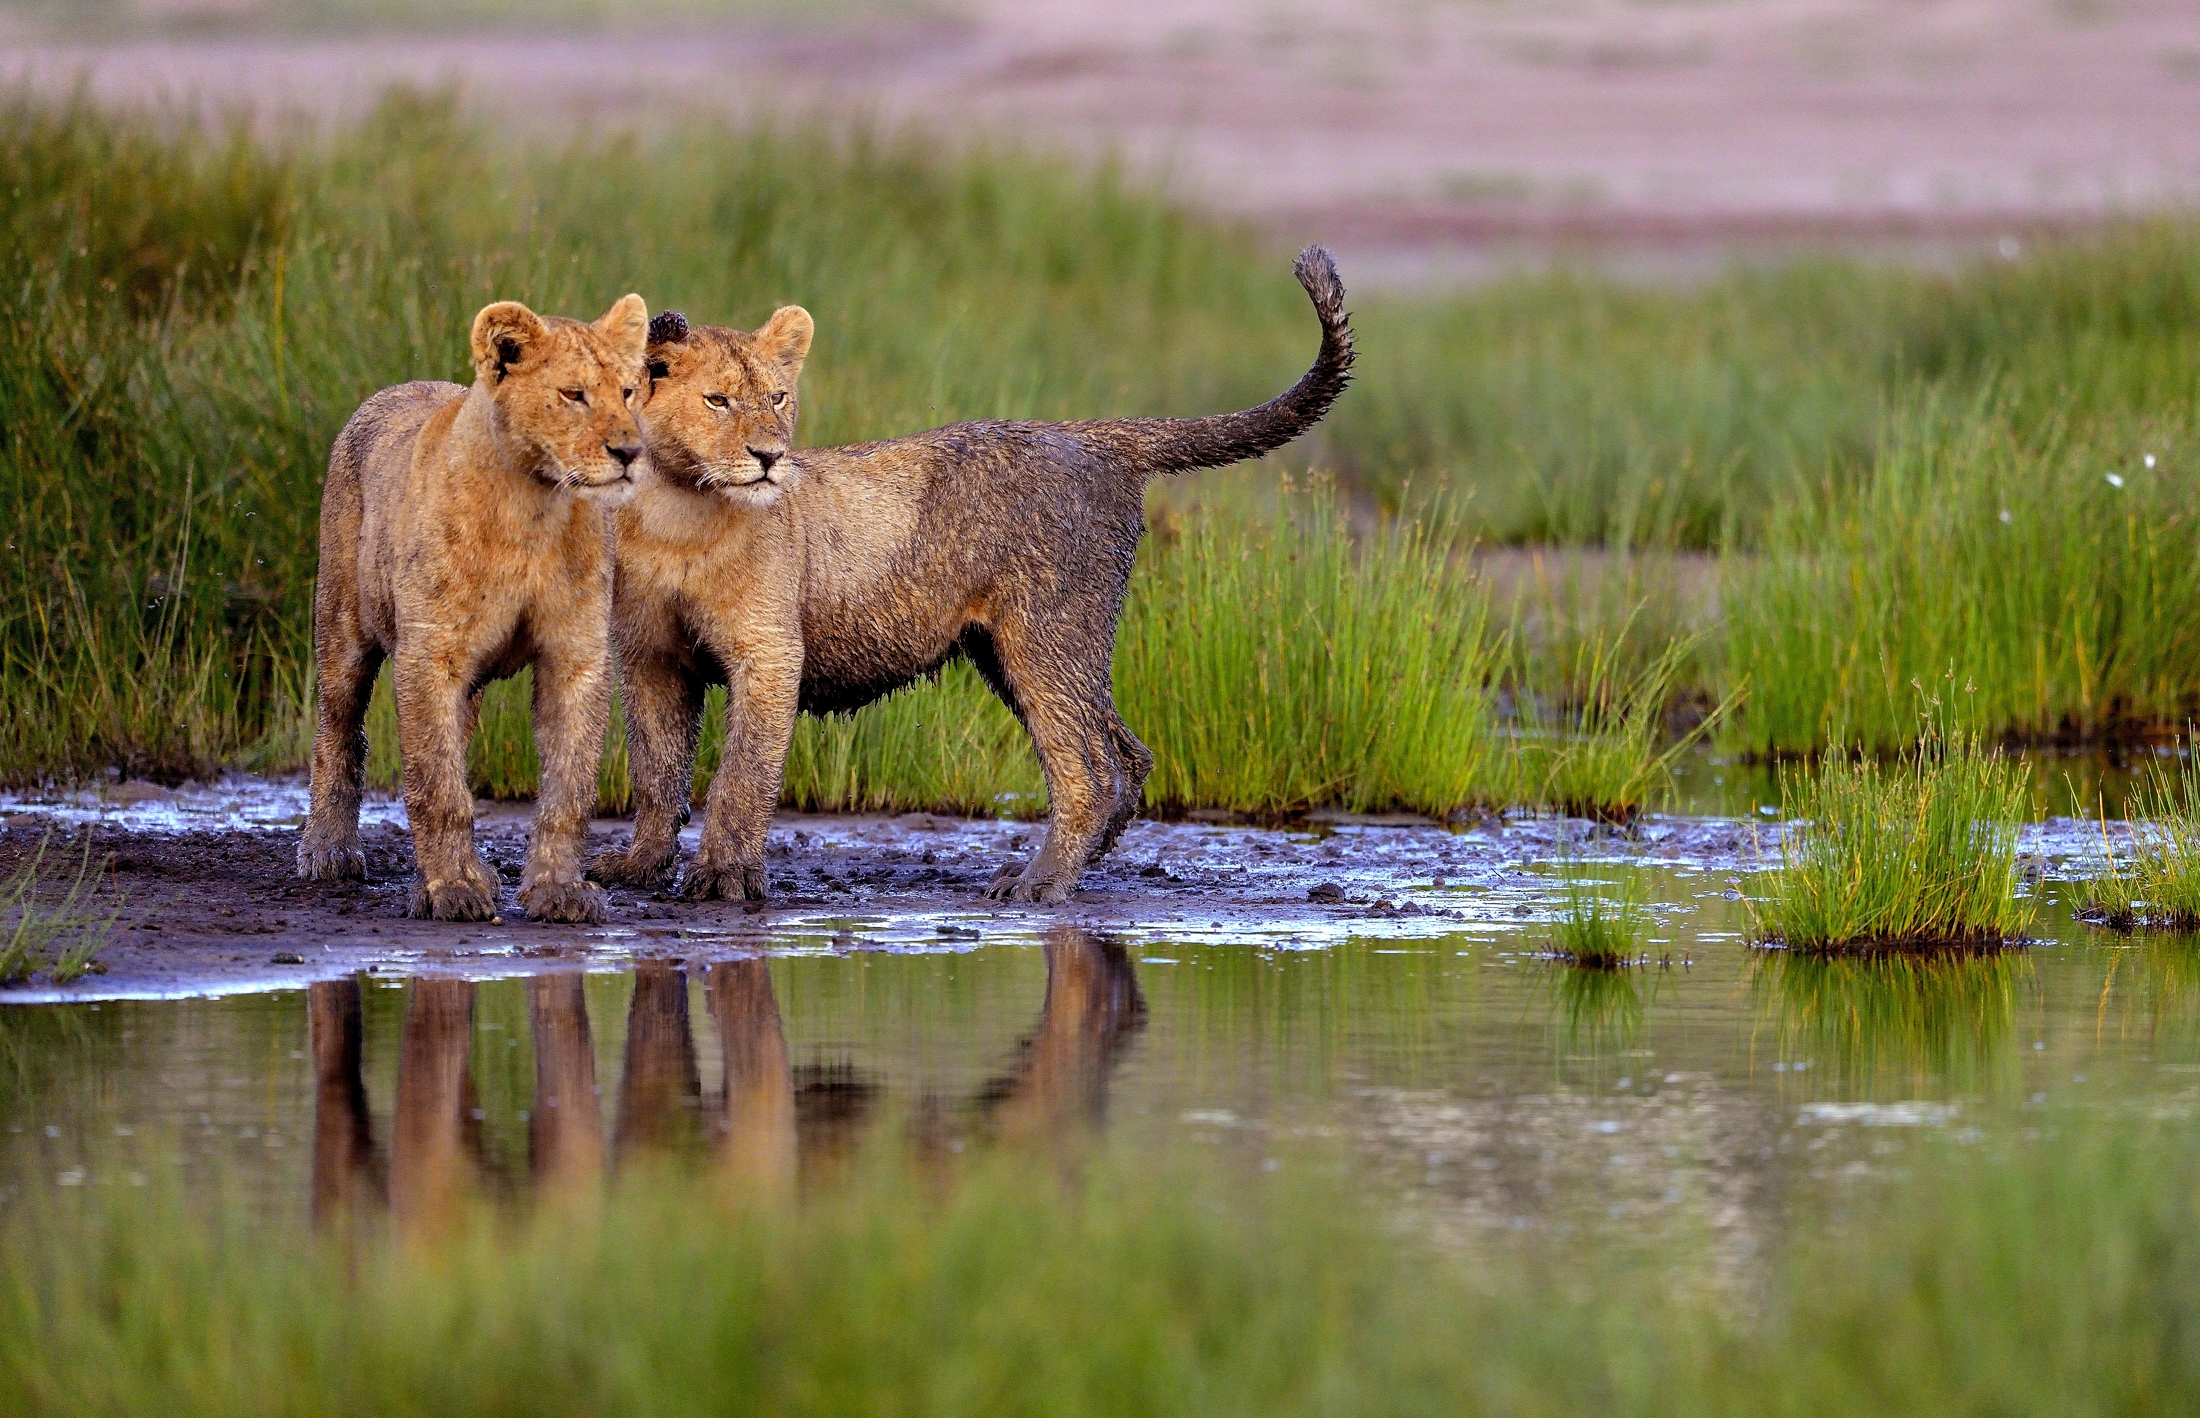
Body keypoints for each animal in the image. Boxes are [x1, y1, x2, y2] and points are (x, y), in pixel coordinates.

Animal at [297, 294, 650, 924]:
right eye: (573, 394)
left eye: (629, 391)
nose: (631, 453)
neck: (533, 505)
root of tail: (390, 390)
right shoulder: (428, 654)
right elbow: (436, 784)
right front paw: (453, 890)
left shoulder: (576, 654)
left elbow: (570, 785)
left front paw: (558, 891)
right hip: (342, 629)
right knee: (338, 730)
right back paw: (328, 853)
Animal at [589, 247, 1352, 903]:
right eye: (718, 401)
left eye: (777, 398)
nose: (770, 456)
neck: (677, 511)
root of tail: (1095, 434)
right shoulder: (651, 657)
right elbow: (655, 769)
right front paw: (635, 867)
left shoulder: (770, 654)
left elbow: (741, 774)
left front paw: (723, 877)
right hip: (1012, 648)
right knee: (1127, 754)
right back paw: (1081, 863)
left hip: (1048, 631)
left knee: (1086, 765)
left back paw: (1039, 881)